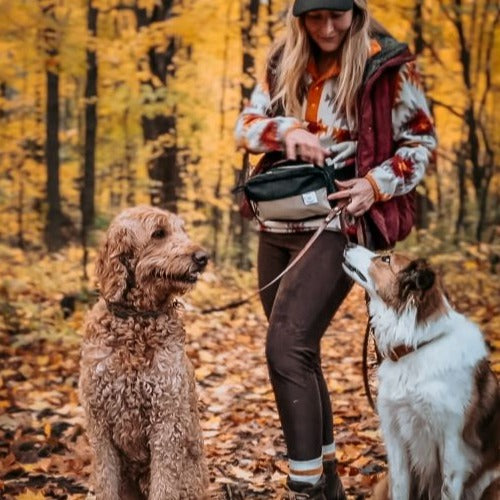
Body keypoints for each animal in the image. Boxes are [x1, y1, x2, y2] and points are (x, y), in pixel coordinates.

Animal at [77, 205, 209, 498]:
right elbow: (105, 483)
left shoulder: (167, 423)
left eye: (183, 230)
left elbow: (164, 485)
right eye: (159, 233)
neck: (137, 320)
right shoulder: (99, 427)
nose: (203, 257)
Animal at [342, 245, 498, 500]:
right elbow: (400, 488)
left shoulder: (453, 447)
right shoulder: (395, 435)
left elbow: (447, 489)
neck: (417, 345)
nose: (347, 244)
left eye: (385, 259)